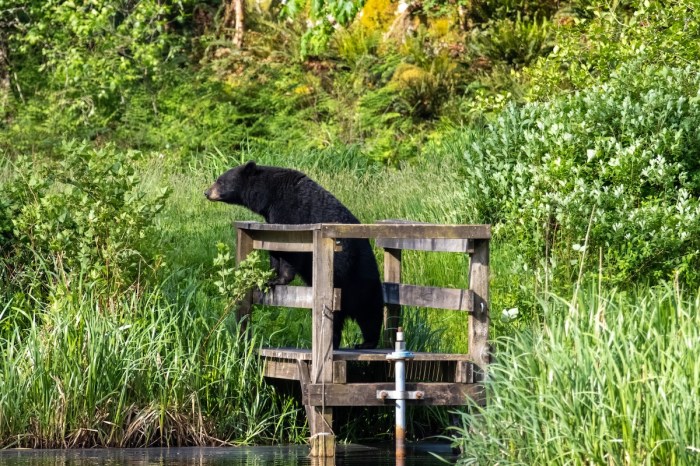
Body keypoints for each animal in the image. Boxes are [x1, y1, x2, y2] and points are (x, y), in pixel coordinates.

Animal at [205, 161, 384, 349]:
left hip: (360, 278)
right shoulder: (272, 222)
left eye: (220, 181)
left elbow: (292, 250)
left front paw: (279, 279)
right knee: (336, 322)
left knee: (370, 314)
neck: (270, 195)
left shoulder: (292, 213)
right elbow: (274, 249)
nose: (207, 192)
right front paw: (270, 277)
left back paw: (367, 342)